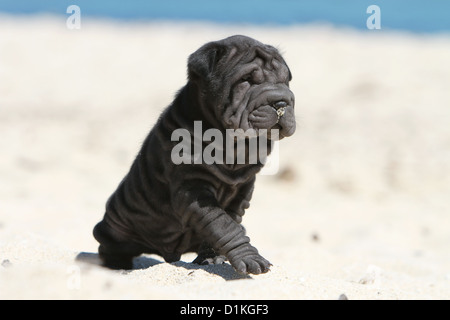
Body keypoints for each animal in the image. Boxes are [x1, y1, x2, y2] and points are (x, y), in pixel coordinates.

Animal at [93, 35, 296, 276]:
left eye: (285, 81)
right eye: (246, 80)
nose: (282, 102)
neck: (231, 142)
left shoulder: (242, 190)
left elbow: (227, 223)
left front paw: (213, 258)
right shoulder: (191, 188)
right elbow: (224, 225)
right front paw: (249, 258)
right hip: (115, 225)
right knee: (110, 245)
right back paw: (117, 267)